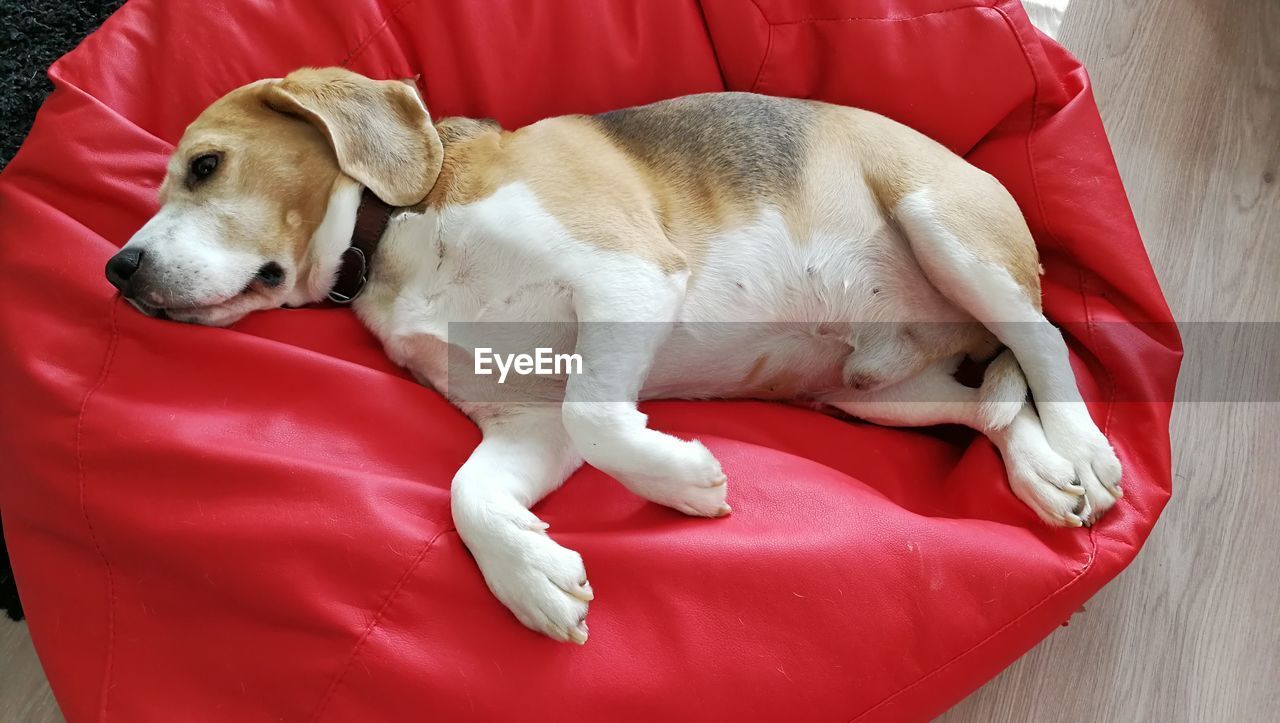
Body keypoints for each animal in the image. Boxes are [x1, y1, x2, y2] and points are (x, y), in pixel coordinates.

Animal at [107, 67, 1121, 642]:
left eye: (205, 166)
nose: (119, 269)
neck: (393, 229)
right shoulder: (523, 419)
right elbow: (469, 489)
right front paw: (529, 578)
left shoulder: (625, 275)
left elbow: (599, 415)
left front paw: (682, 481)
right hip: (873, 393)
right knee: (992, 402)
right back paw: (1044, 475)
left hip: (945, 229)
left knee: (1045, 342)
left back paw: (1086, 448)